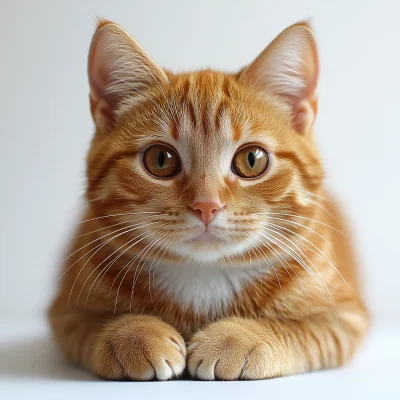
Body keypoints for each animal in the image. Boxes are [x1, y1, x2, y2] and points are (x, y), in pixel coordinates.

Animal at [49, 19, 368, 382]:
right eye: (160, 160)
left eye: (252, 160)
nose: (206, 205)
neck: (204, 276)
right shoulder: (65, 312)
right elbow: (92, 327)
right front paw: (133, 333)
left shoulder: (345, 316)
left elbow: (301, 332)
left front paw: (239, 337)